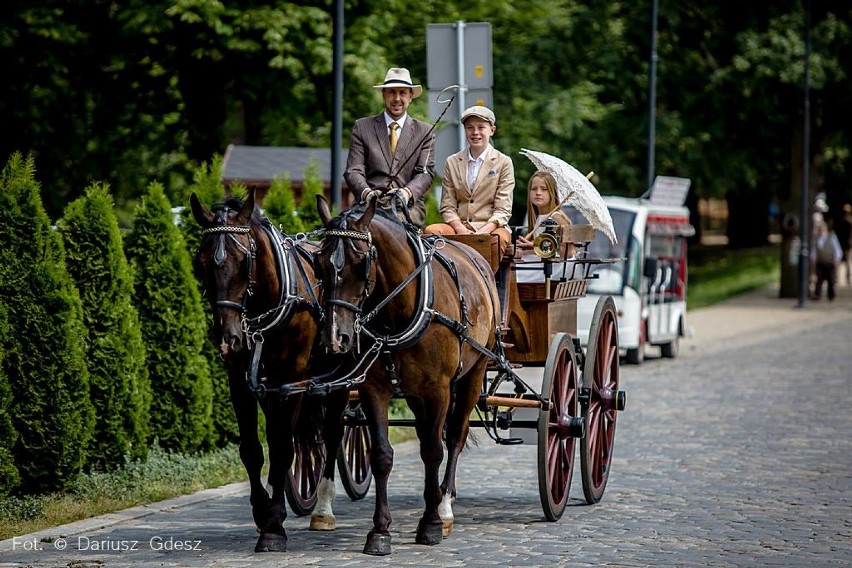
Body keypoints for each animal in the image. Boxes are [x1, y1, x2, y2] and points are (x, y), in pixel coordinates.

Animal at [191, 189, 348, 552]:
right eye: (200, 263)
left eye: (243, 259)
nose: (227, 338)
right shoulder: (242, 383)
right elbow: (252, 450)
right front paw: (263, 511)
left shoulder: (291, 379)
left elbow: (282, 449)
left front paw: (274, 526)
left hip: (339, 379)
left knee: (332, 434)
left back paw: (323, 508)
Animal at [312, 196, 500, 556]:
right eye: (319, 263)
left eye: (360, 261)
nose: (335, 338)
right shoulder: (374, 389)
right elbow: (382, 455)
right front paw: (380, 531)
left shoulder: (438, 390)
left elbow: (433, 451)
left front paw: (431, 524)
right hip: (413, 393)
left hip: (474, 373)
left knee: (455, 436)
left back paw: (445, 506)